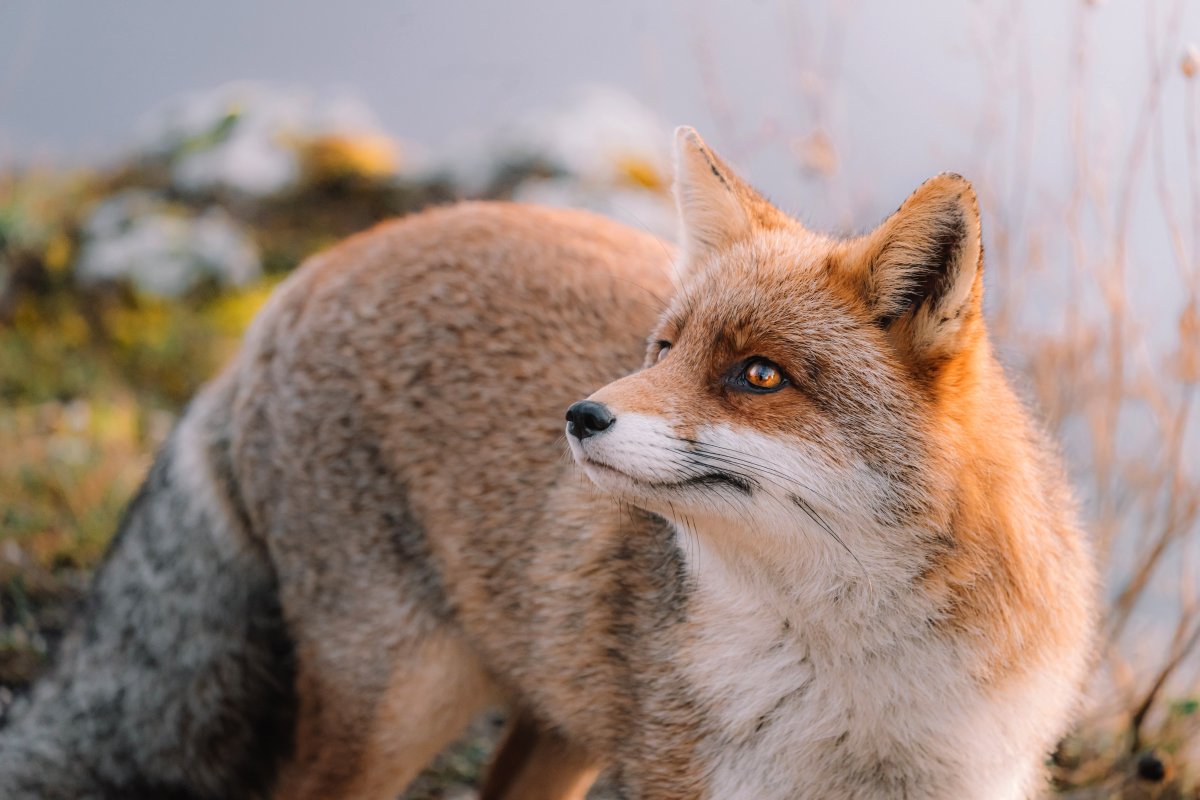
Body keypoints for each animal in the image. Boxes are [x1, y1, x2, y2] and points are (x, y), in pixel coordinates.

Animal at [0, 127, 1096, 800]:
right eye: (665, 347)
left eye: (757, 374)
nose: (579, 414)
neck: (862, 691)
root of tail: (305, 276)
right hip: (399, 704)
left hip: (555, 720)